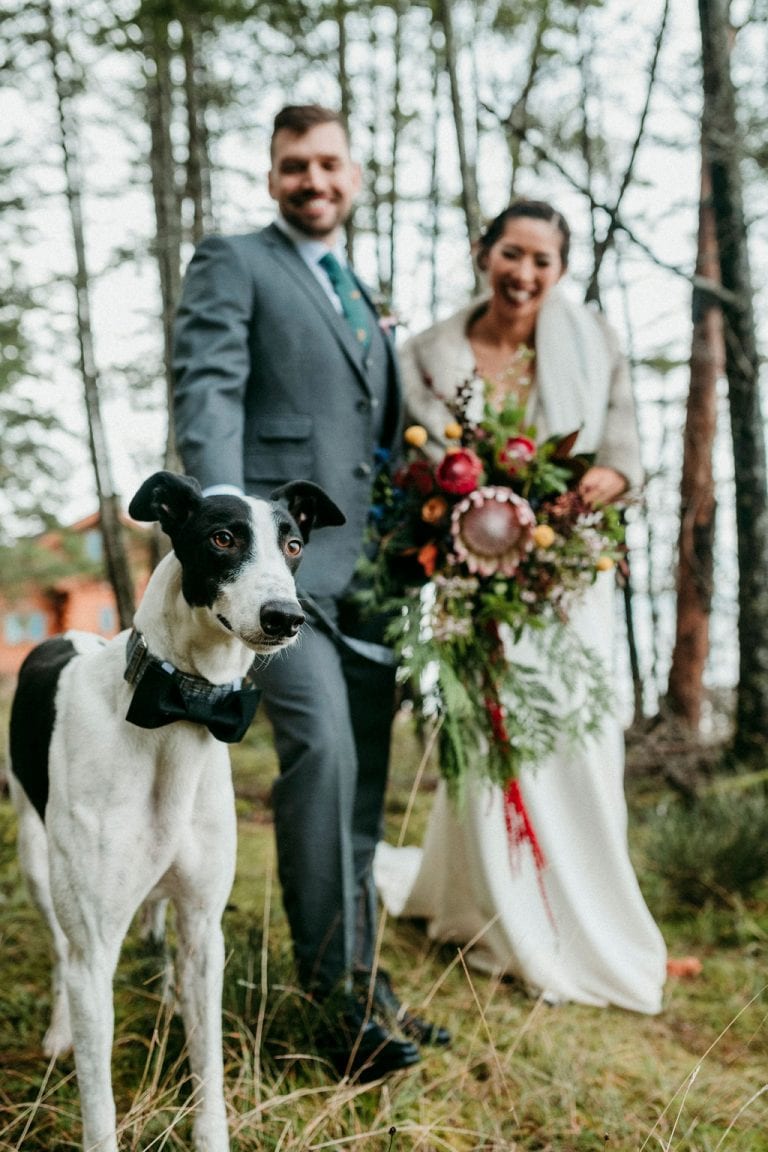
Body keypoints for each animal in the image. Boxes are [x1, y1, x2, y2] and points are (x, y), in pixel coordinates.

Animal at [7, 470, 343, 1152]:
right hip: (37, 865)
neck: (181, 711)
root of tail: (60, 634)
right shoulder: (93, 950)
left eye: (293, 545)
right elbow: (99, 1102)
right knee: (58, 952)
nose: (285, 617)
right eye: (222, 538)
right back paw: (59, 1031)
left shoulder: (204, 932)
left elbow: (207, 1058)